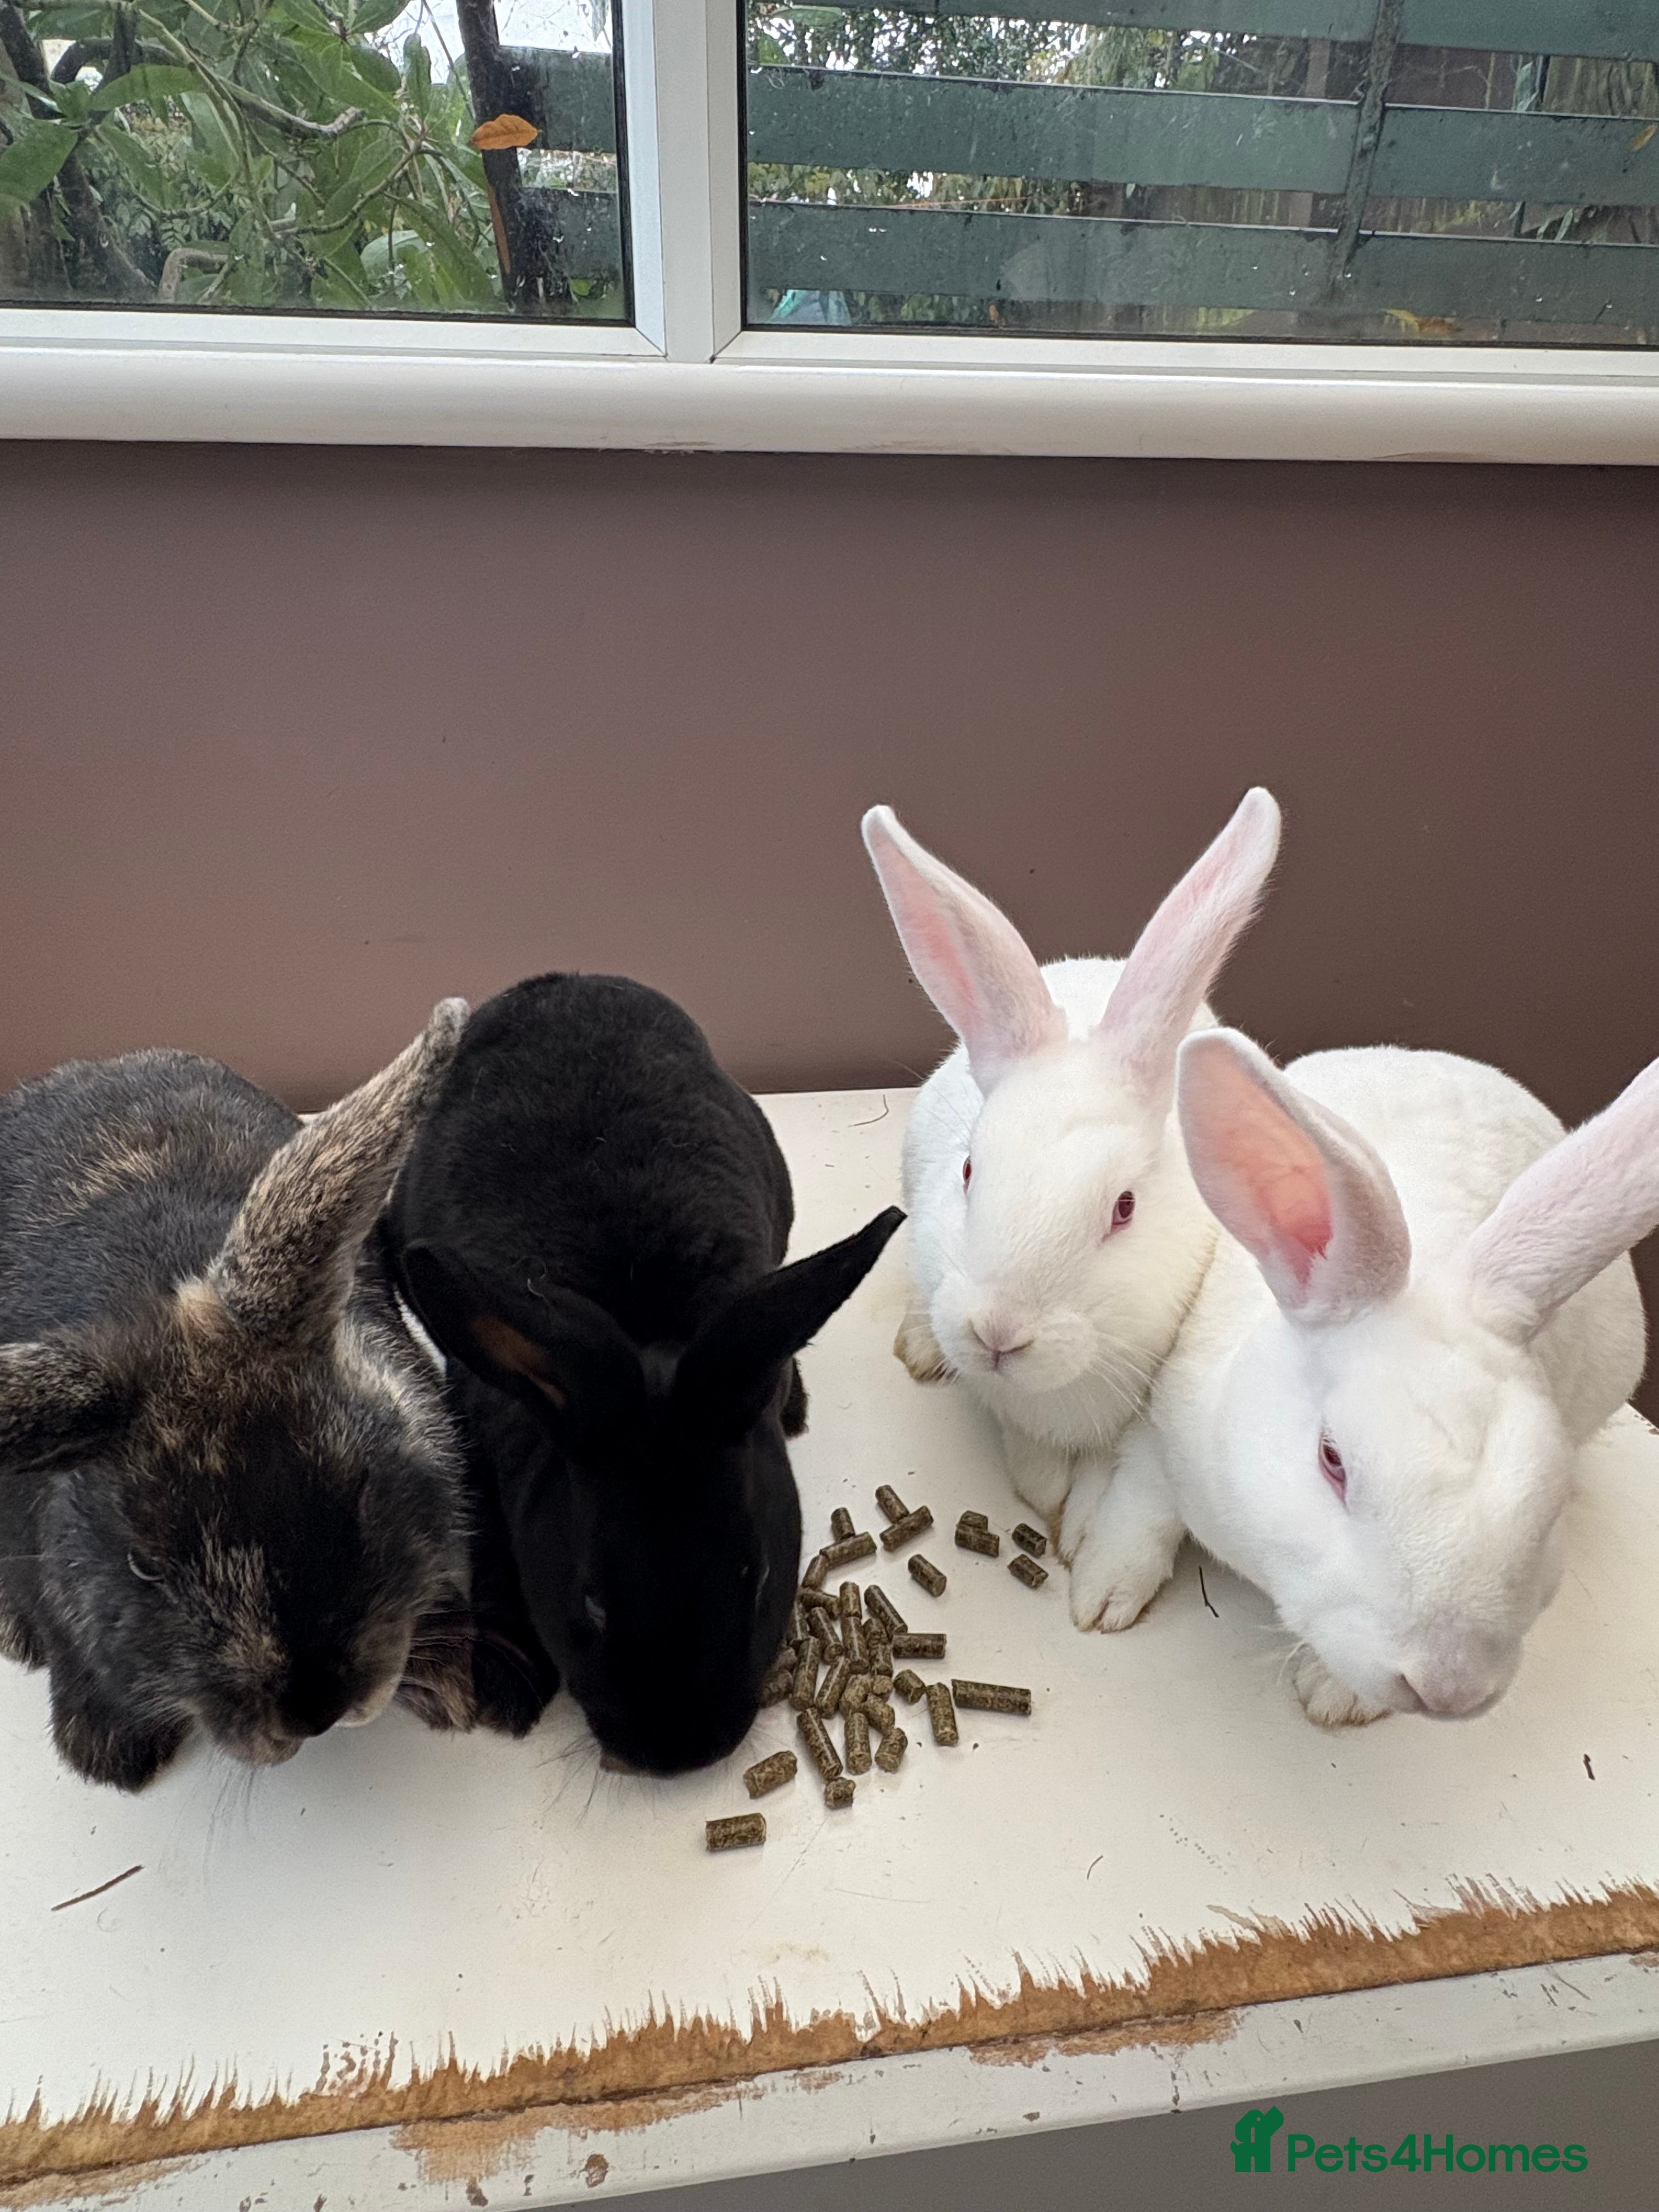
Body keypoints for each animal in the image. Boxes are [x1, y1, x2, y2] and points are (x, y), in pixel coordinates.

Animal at [385, 973, 904, 1776]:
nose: (682, 1754)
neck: (643, 1326)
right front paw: (506, 1688)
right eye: (593, 1603)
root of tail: (564, 979)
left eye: (756, 1577)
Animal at [861, 788, 1281, 1523]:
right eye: (968, 1171)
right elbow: (1029, 1450)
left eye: (1124, 1208)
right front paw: (1044, 1494)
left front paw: (1076, 1523)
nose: (998, 1332)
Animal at [1061, 1029, 1658, 1727]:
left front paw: (1336, 1699)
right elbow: (1140, 1508)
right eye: (1332, 1460)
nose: (1449, 1688)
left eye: (1553, 1503)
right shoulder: (1165, 1429)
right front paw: (1102, 1593)